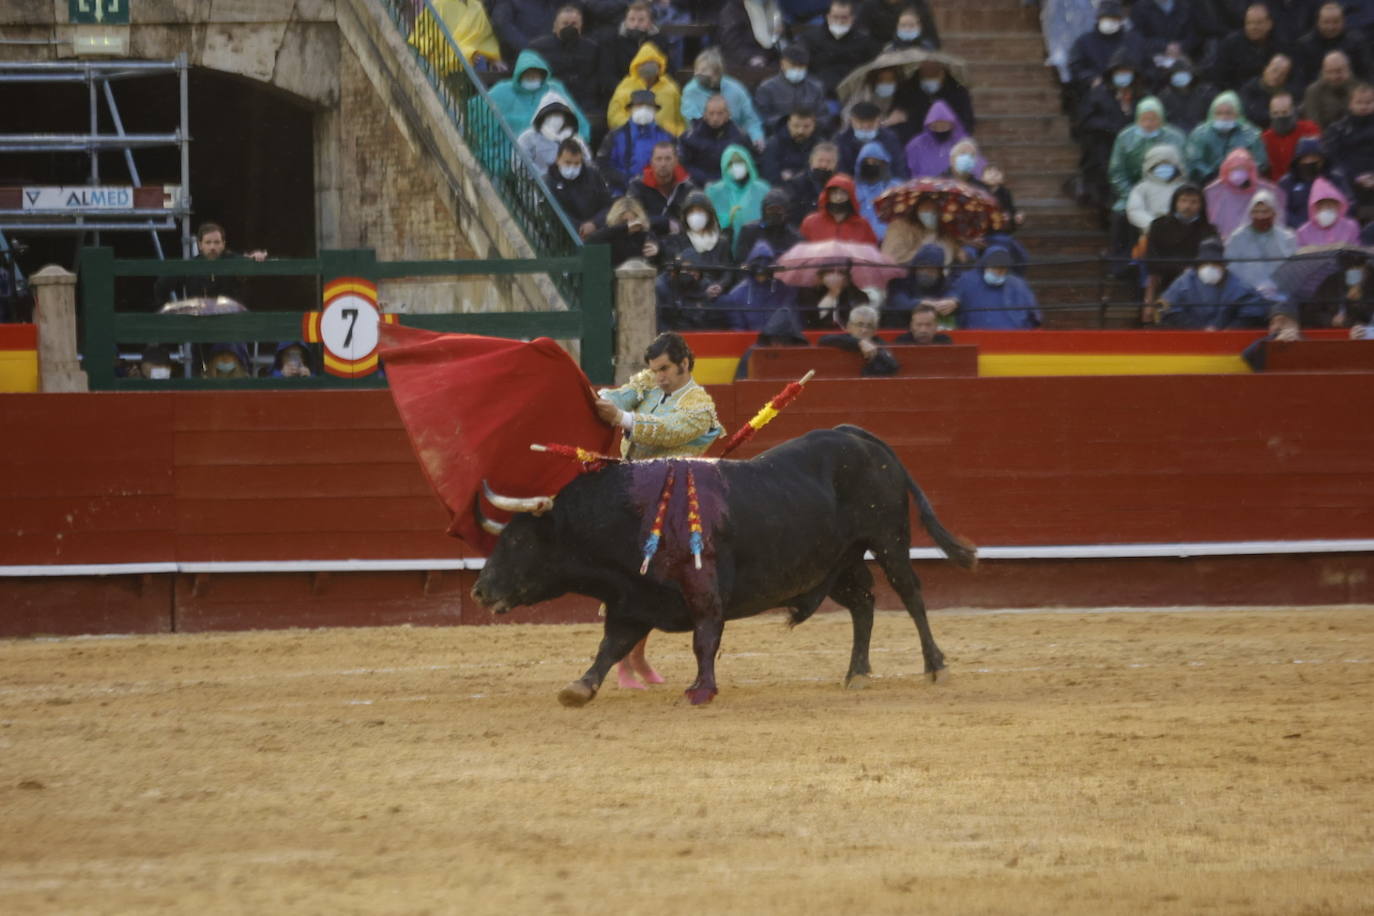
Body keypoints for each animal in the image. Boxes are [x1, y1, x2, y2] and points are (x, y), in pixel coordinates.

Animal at [469, 425, 978, 708]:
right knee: (865, 603)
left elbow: (704, 640)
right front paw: (579, 688)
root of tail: (858, 437)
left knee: (910, 594)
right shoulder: (632, 602)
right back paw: (856, 673)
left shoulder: (703, 591)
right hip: (835, 561)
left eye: (517, 540)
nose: (479, 590)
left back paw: (936, 667)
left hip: (889, 540)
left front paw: (701, 690)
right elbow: (608, 648)